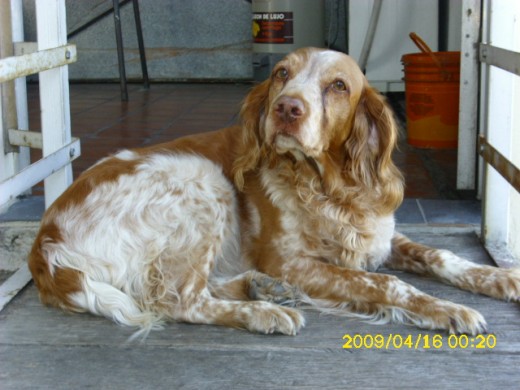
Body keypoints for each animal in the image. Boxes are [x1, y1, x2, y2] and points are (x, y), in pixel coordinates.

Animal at [29, 47, 520, 336]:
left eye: (338, 85)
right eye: (282, 73)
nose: (287, 108)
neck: (329, 187)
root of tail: (45, 241)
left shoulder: (378, 237)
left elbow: (440, 255)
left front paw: (501, 277)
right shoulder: (290, 260)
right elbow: (387, 283)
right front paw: (445, 309)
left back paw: (263, 288)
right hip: (201, 177)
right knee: (178, 300)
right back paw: (266, 311)